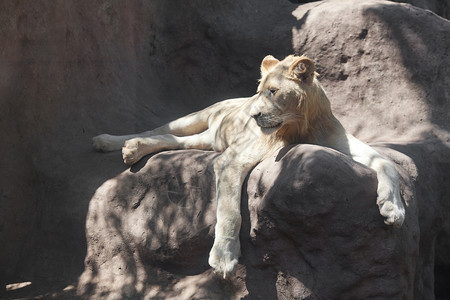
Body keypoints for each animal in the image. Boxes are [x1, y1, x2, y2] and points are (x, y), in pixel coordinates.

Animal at [93, 54, 406, 278]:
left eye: (273, 91)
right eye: (259, 92)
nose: (253, 115)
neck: (298, 125)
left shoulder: (339, 140)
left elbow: (385, 161)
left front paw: (393, 208)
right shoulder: (231, 159)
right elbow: (229, 210)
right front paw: (224, 257)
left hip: (210, 141)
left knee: (174, 140)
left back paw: (133, 149)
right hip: (198, 120)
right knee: (162, 128)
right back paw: (109, 141)